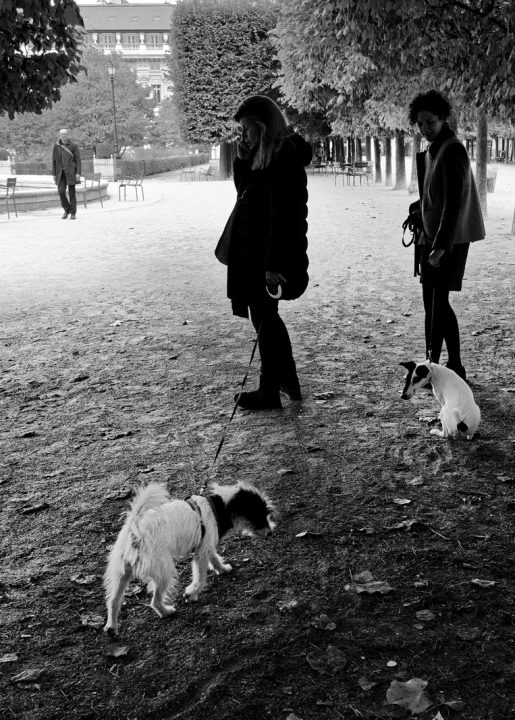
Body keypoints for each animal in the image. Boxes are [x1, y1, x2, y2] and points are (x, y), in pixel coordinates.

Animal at [102, 480, 276, 632]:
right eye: (260, 514)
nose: (271, 533)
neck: (219, 506)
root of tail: (135, 530)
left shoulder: (206, 546)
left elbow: (214, 558)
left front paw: (222, 569)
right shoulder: (201, 553)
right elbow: (201, 577)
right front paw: (192, 593)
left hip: (122, 574)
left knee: (113, 601)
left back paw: (111, 627)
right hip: (163, 572)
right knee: (155, 601)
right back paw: (166, 612)